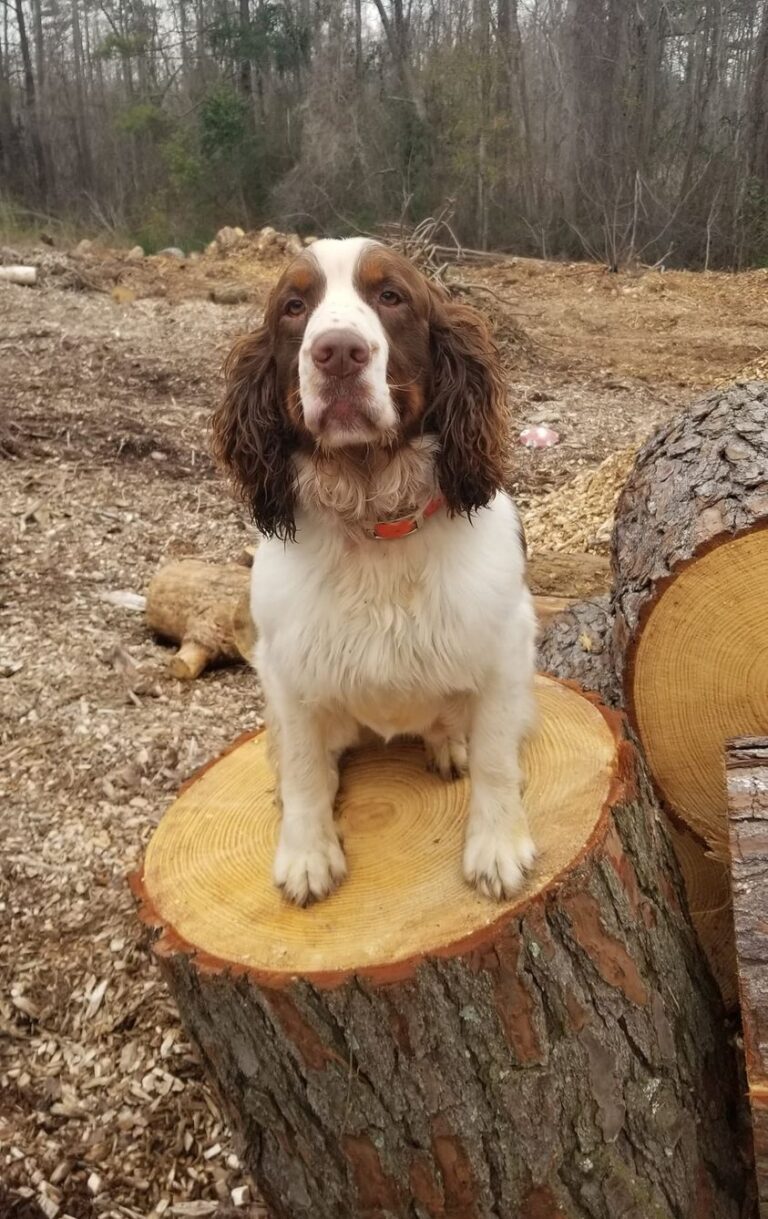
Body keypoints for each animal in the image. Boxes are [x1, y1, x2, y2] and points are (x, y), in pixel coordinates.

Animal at [210, 235, 536, 906]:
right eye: (294, 306)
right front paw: (307, 853)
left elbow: (496, 760)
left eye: (391, 296)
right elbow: (305, 770)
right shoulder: (287, 668)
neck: (375, 519)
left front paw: (497, 848)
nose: (337, 353)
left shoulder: (504, 649)